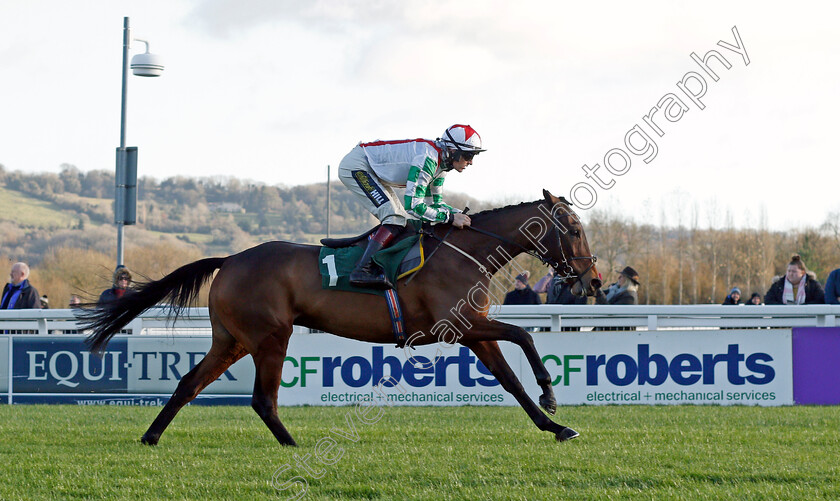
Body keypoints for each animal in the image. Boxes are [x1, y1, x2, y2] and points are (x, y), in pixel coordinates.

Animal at [79, 189, 596, 444]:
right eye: (573, 229)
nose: (590, 280)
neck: (463, 252)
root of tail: (230, 259)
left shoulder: (473, 330)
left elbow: (510, 380)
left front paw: (554, 425)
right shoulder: (462, 325)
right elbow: (525, 337)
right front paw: (551, 395)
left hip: (232, 339)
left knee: (189, 383)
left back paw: (151, 436)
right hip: (270, 337)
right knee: (262, 400)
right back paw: (292, 445)